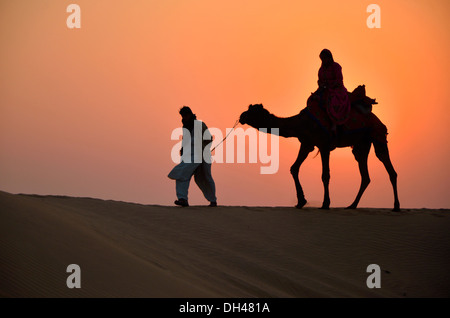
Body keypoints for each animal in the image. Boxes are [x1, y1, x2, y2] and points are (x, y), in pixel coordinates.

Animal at [239, 90, 400, 212]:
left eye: (252, 111)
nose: (241, 116)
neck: (301, 123)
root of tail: (379, 121)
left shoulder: (324, 145)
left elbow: (325, 175)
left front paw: (325, 204)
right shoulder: (306, 144)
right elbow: (294, 168)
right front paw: (301, 201)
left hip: (377, 135)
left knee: (388, 167)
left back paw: (396, 206)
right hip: (362, 144)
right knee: (365, 175)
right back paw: (352, 205)